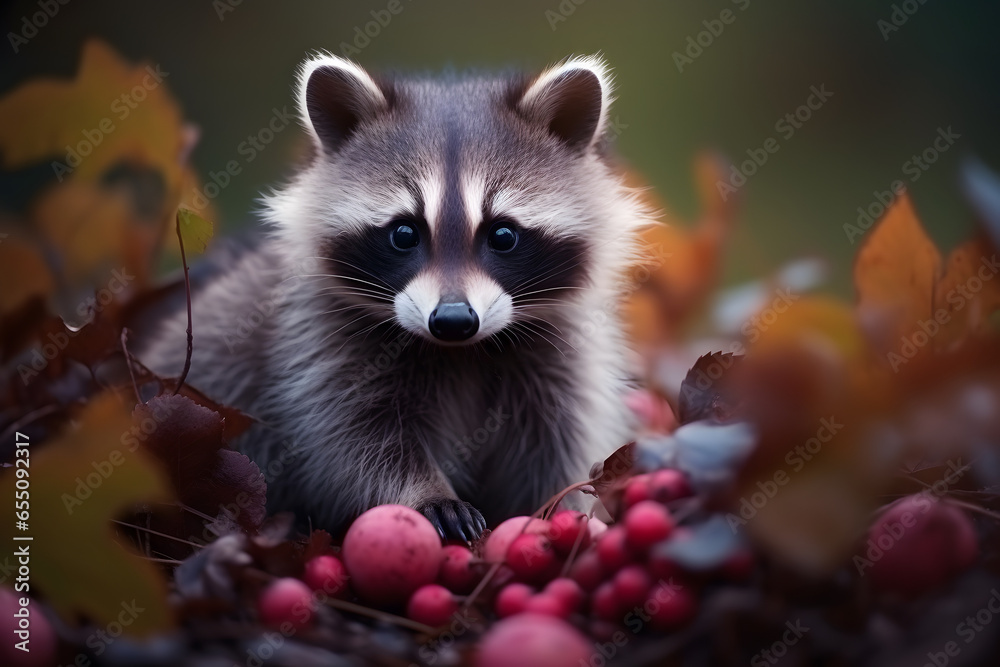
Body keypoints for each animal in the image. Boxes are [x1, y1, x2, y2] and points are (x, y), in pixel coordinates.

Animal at [141, 54, 652, 540]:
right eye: (404, 233)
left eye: (503, 235)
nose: (452, 320)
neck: (462, 353)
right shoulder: (316, 344)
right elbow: (354, 441)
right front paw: (426, 493)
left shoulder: (560, 359)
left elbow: (555, 447)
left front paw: (554, 509)